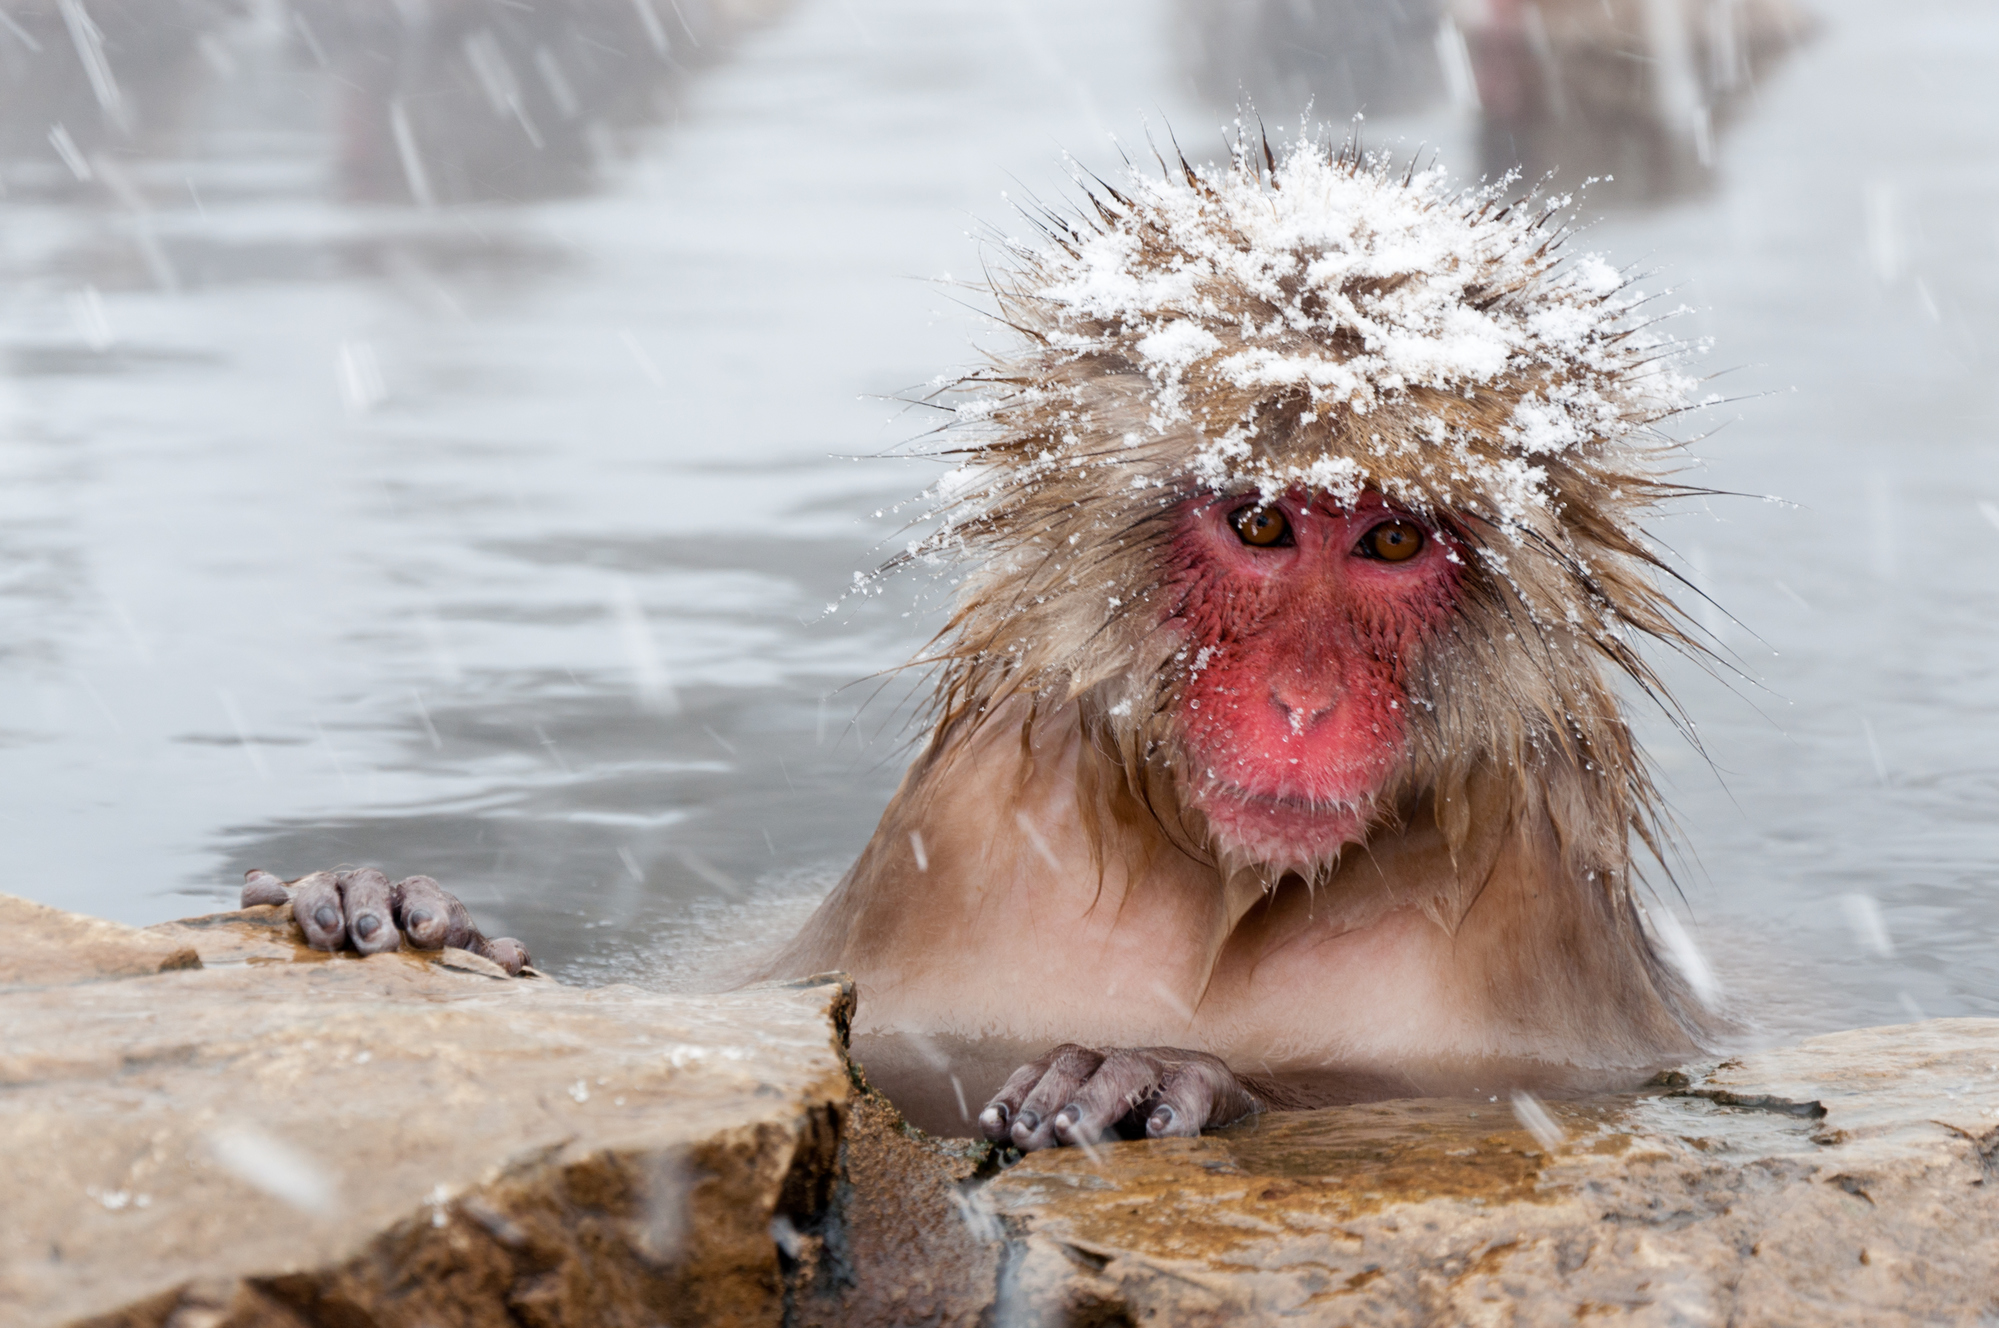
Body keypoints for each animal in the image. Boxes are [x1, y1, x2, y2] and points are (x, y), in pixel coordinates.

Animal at [767, 137, 1719, 1152]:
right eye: (1260, 524)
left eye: (1391, 540)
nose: (1302, 704)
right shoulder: (964, 829)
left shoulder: (1536, 910)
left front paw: (1151, 1072)